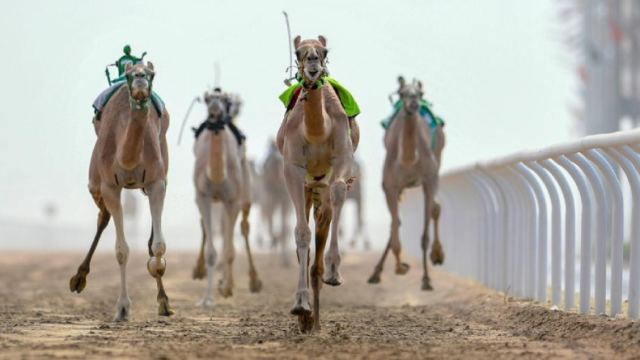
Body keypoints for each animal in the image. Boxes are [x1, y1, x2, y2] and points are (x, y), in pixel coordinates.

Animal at [69, 62, 174, 320]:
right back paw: (78, 278)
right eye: (127, 75)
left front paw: (161, 289)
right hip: (95, 182)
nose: (140, 78)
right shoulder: (110, 186)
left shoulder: (157, 182)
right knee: (103, 217)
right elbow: (121, 250)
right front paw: (123, 308)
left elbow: (158, 246)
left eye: (152, 74)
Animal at [190, 88, 262, 306]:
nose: (215, 109)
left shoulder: (233, 200)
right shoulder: (203, 197)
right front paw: (207, 298)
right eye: (207, 100)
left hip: (245, 189)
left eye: (224, 99)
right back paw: (201, 272)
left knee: (244, 228)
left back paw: (253, 281)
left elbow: (230, 250)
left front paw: (227, 288)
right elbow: (212, 252)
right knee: (209, 228)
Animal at [276, 35, 358, 334]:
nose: (312, 62)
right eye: (298, 52)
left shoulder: (344, 156)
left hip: (320, 188)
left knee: (325, 217)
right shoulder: (292, 169)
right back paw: (308, 317)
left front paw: (335, 272)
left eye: (324, 50)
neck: (316, 132)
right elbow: (301, 233)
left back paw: (317, 317)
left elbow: (338, 192)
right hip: (307, 187)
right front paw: (300, 304)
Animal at [364, 78, 444, 290]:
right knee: (396, 223)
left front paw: (426, 279)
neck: (408, 160)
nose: (414, 101)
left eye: (420, 92)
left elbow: (425, 230)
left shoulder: (429, 178)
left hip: (437, 161)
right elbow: (395, 225)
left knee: (435, 207)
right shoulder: (389, 185)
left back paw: (437, 256)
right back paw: (375, 272)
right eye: (402, 93)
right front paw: (400, 268)